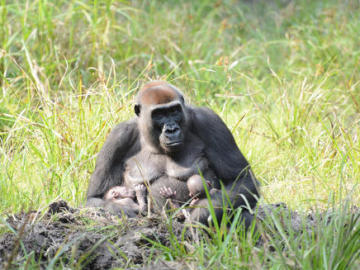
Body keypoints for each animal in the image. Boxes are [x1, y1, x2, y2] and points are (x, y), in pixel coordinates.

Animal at [86, 81, 260, 225]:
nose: (171, 129)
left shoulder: (209, 120)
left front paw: (202, 213)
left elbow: (243, 179)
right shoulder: (118, 137)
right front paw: (124, 210)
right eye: (159, 114)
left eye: (174, 110)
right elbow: (93, 198)